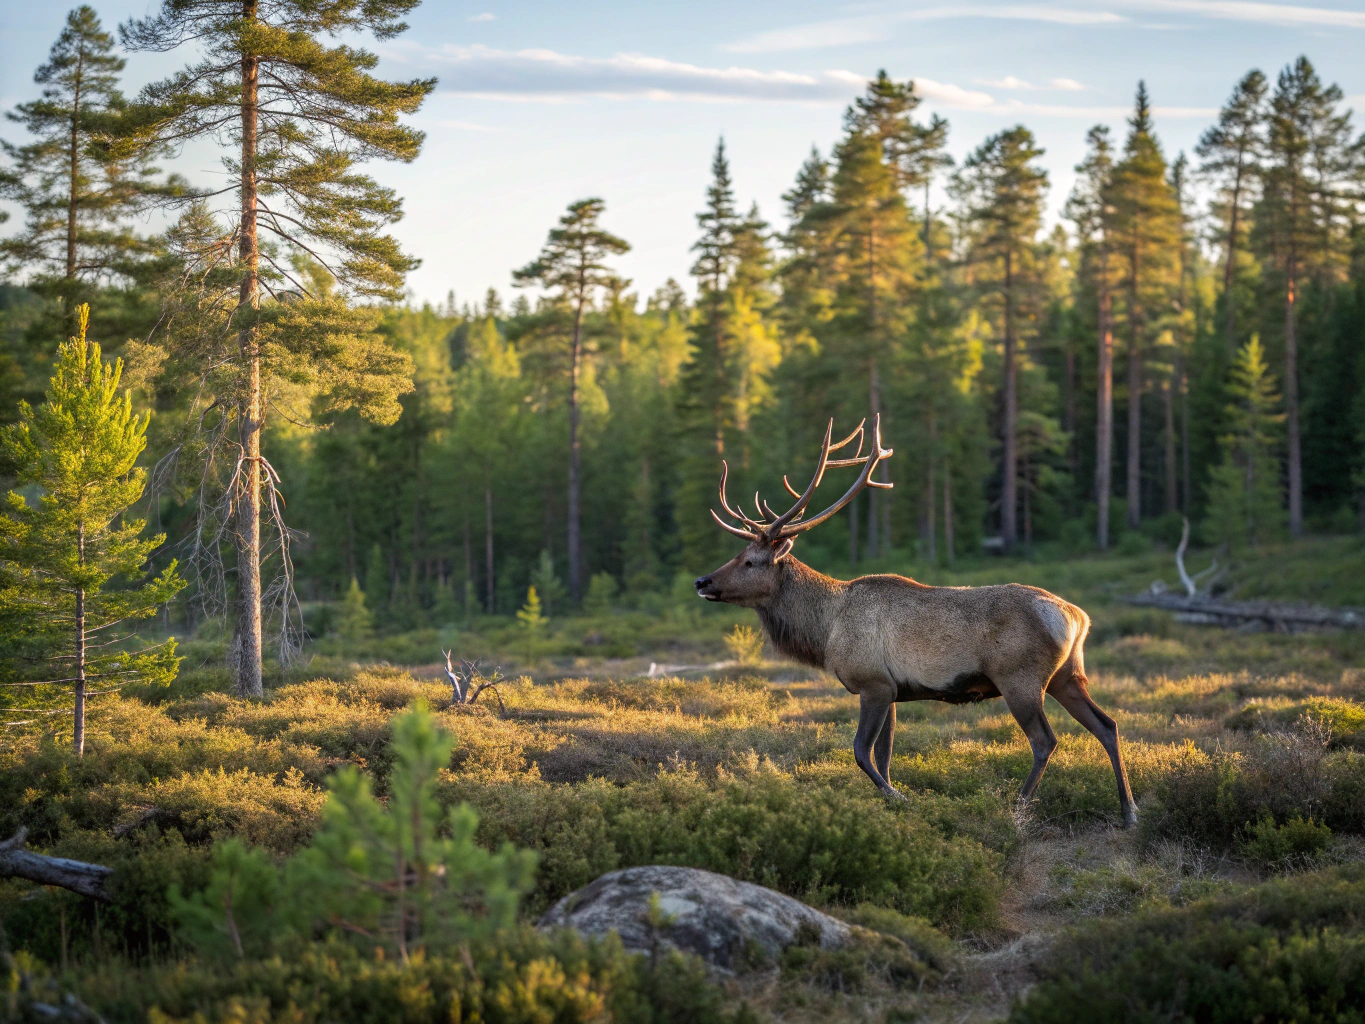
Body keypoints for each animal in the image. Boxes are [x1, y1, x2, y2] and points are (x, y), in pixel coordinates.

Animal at [692, 415, 1137, 827]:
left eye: (750, 561)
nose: (702, 581)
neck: (825, 629)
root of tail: (1077, 617)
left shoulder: (872, 683)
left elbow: (861, 753)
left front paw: (901, 798)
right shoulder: (891, 690)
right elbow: (884, 756)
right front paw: (893, 803)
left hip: (1020, 678)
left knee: (1045, 741)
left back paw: (1018, 809)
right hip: (1067, 676)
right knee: (1107, 725)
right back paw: (1129, 810)